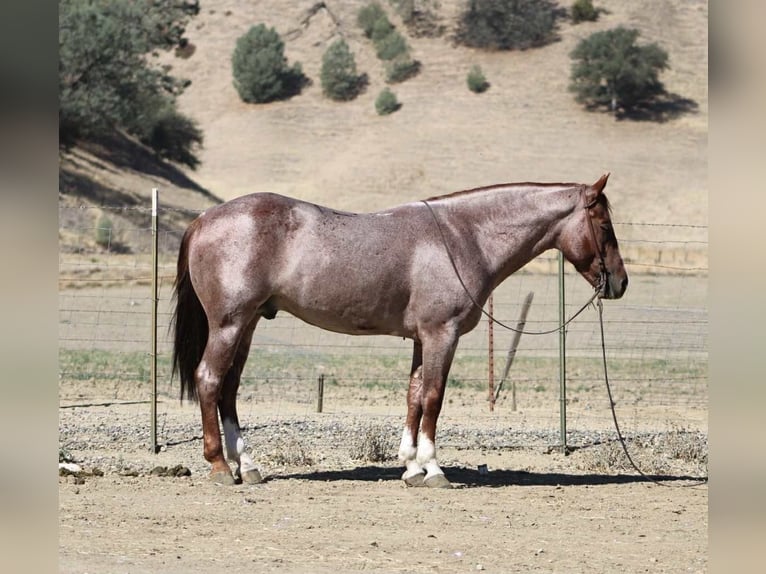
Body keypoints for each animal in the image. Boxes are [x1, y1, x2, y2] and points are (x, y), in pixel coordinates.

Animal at [172, 173, 628, 488]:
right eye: (605, 226)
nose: (621, 283)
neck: (464, 237)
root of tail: (205, 219)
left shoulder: (421, 339)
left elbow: (414, 397)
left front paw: (411, 467)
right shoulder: (442, 335)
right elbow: (434, 398)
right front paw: (434, 469)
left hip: (247, 325)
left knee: (229, 388)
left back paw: (247, 465)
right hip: (229, 324)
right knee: (209, 380)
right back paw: (219, 466)